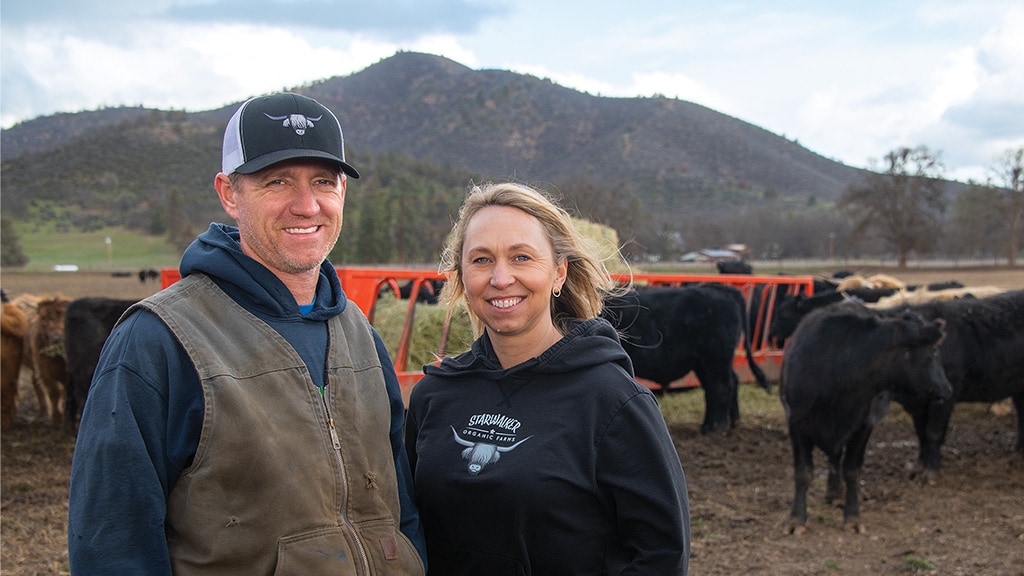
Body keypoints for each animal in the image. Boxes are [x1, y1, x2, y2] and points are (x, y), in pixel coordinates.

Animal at [598, 282, 770, 430]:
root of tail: (721, 289)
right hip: (704, 362)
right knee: (720, 385)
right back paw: (726, 423)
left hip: (715, 357)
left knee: (722, 386)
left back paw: (715, 427)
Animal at [782, 303, 950, 532]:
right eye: (933, 351)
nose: (947, 389)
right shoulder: (796, 423)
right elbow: (803, 472)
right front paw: (796, 518)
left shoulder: (863, 425)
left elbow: (852, 470)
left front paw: (853, 517)